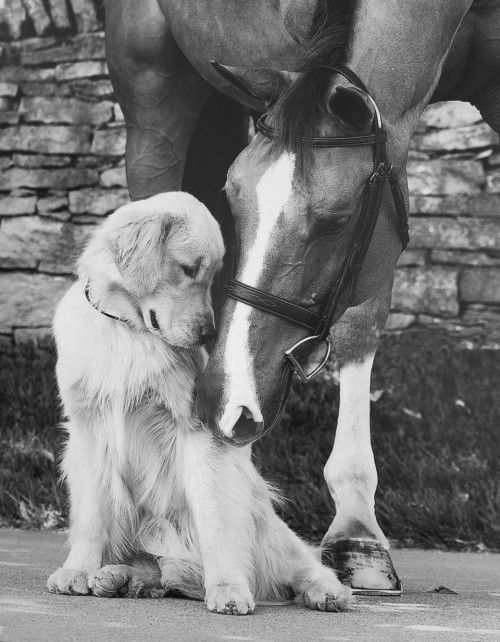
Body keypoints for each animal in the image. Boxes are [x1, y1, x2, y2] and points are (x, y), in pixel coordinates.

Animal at [47, 192, 352, 612]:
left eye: (214, 277)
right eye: (188, 268)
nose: (208, 334)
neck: (130, 332)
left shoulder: (198, 431)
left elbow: (214, 519)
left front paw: (227, 587)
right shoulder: (88, 429)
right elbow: (92, 512)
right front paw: (77, 570)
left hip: (261, 516)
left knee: (294, 562)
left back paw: (326, 590)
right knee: (163, 571)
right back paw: (119, 577)